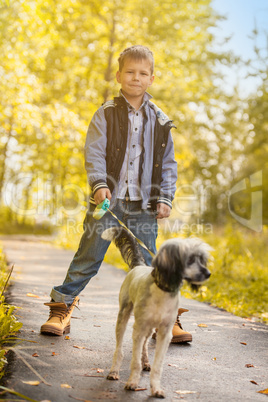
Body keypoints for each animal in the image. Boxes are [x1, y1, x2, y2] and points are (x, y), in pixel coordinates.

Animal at [101, 228, 213, 398]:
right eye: (189, 259)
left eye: (201, 259)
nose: (208, 273)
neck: (163, 291)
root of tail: (139, 266)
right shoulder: (139, 329)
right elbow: (135, 362)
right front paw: (132, 382)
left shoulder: (165, 334)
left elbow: (158, 365)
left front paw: (156, 388)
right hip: (123, 318)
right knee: (119, 350)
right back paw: (114, 371)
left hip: (150, 328)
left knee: (145, 345)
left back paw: (146, 362)